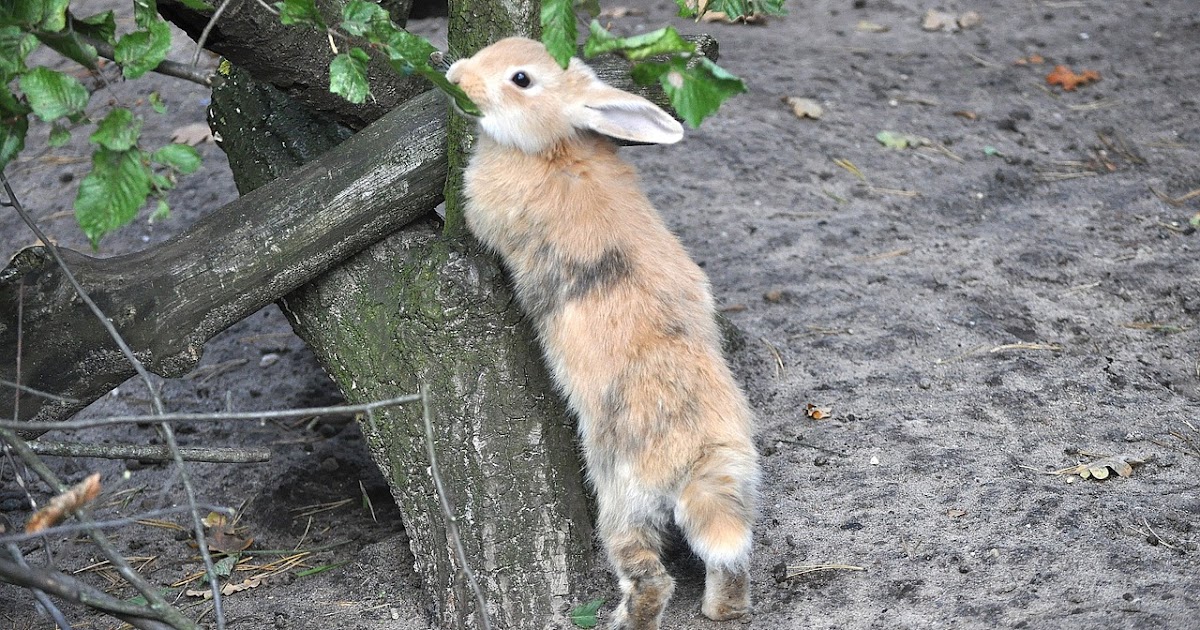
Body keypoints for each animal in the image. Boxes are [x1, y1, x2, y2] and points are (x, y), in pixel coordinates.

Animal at [446, 37, 759, 630]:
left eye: (521, 78)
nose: (457, 76)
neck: (555, 146)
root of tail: (698, 453)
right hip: (733, 487)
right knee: (730, 559)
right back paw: (720, 610)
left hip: (621, 498)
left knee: (651, 580)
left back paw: (623, 620)